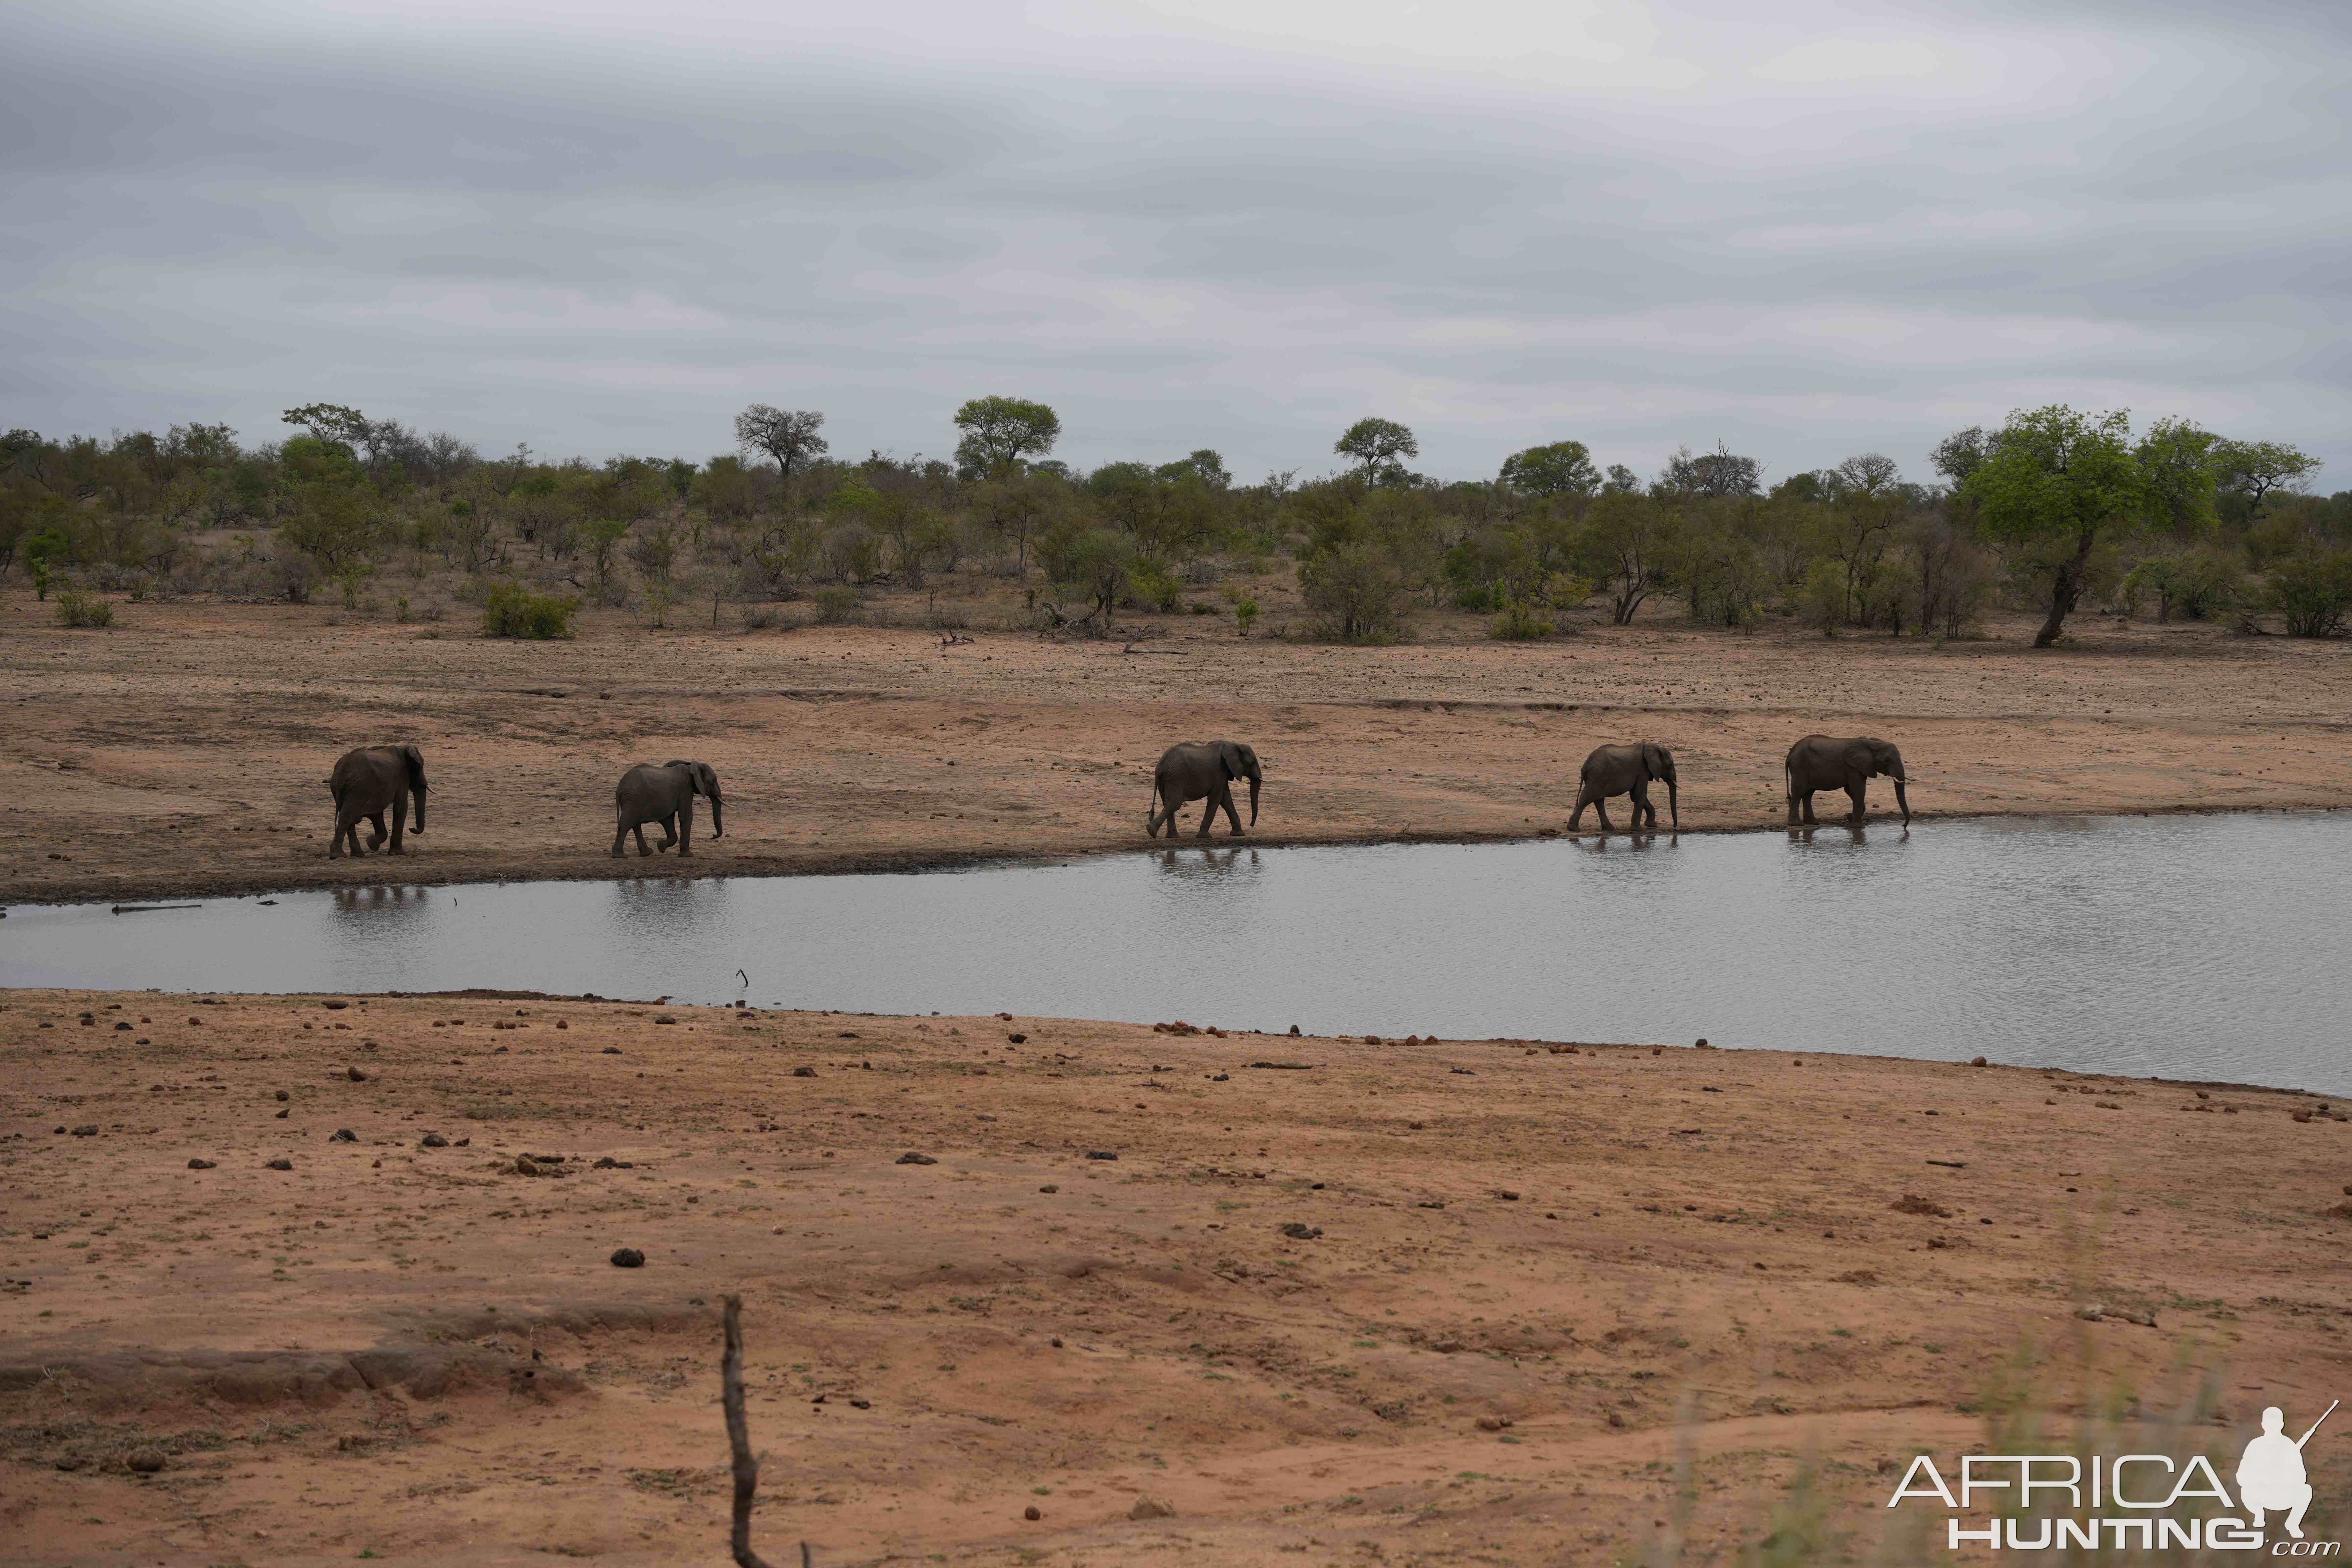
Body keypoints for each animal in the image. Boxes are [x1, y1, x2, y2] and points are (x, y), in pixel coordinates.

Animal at [327, 747, 428, 860]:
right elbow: (401, 808)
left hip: (342, 788)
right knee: (347, 816)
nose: (412, 828)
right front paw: (397, 853)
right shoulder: (402, 778)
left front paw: (371, 842)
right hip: (358, 789)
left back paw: (356, 855)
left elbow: (376, 814)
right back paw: (339, 856)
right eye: (421, 766)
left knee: (347, 816)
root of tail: (342, 772)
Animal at [611, 762, 720, 860]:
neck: (691, 766)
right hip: (633, 800)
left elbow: (668, 820)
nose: (713, 835)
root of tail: (619, 789)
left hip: (632, 801)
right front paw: (688, 856)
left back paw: (647, 853)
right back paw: (620, 856)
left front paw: (660, 846)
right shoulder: (686, 789)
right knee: (626, 824)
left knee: (635, 824)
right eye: (713, 781)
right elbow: (686, 817)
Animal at [1143, 743, 1261, 841]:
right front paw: (1204, 837)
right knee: (1174, 804)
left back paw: (1170, 836)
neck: (1233, 745)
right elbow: (1216, 799)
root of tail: (1160, 766)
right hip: (1175, 778)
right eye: (1253, 762)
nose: (1251, 825)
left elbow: (1226, 800)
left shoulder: (1222, 774)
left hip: (1166, 779)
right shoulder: (1220, 772)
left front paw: (1239, 834)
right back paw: (1151, 831)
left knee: (1168, 804)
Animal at [1571, 747, 1684, 841]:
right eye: (1671, 765)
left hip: (1597, 777)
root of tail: (1585, 767)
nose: (1674, 827)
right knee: (1587, 798)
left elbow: (1635, 796)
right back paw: (1574, 829)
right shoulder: (1642, 770)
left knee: (1598, 800)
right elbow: (1640, 795)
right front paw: (1638, 830)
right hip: (1597, 776)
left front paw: (1652, 826)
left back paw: (1609, 829)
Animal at [1778, 738, 1910, 832]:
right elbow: (1859, 790)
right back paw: (1797, 824)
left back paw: (1813, 823)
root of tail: (1790, 755)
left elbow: (1850, 790)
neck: (1873, 743)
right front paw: (1858, 827)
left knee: (1808, 794)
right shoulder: (1853, 768)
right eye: (1887, 760)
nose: (1903, 827)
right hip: (1800, 767)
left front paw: (1849, 818)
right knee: (1799, 792)